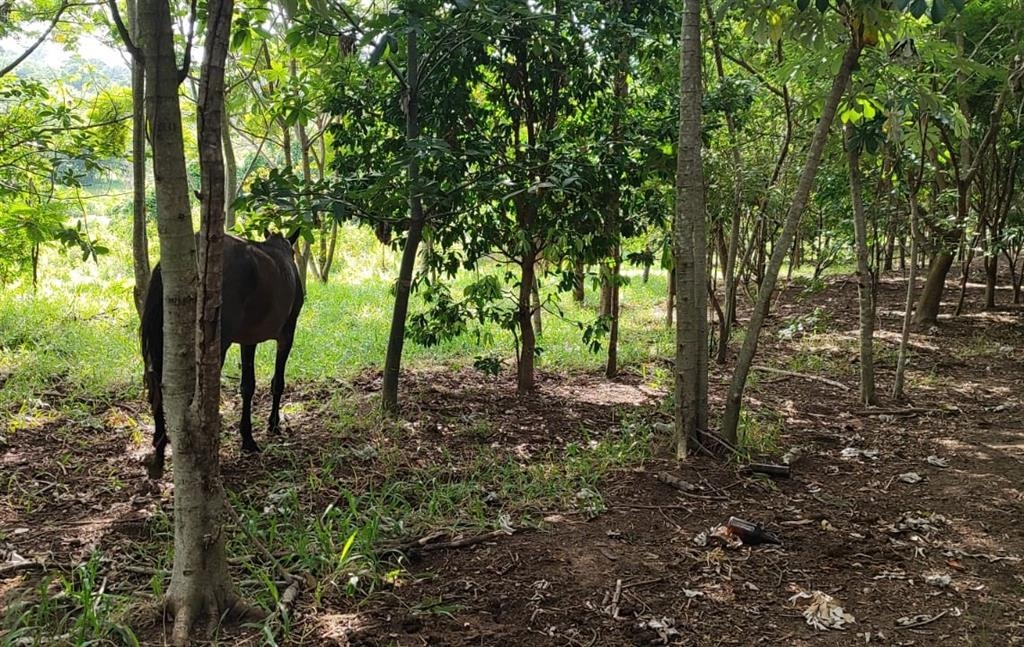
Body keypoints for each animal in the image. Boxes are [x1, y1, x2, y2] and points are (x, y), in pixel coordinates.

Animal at [142, 230, 305, 477]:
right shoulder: (287, 332)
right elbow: (277, 382)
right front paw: (273, 424)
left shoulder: (249, 340)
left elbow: (248, 386)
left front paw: (247, 437)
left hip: (164, 341)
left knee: (157, 388)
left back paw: (160, 449)